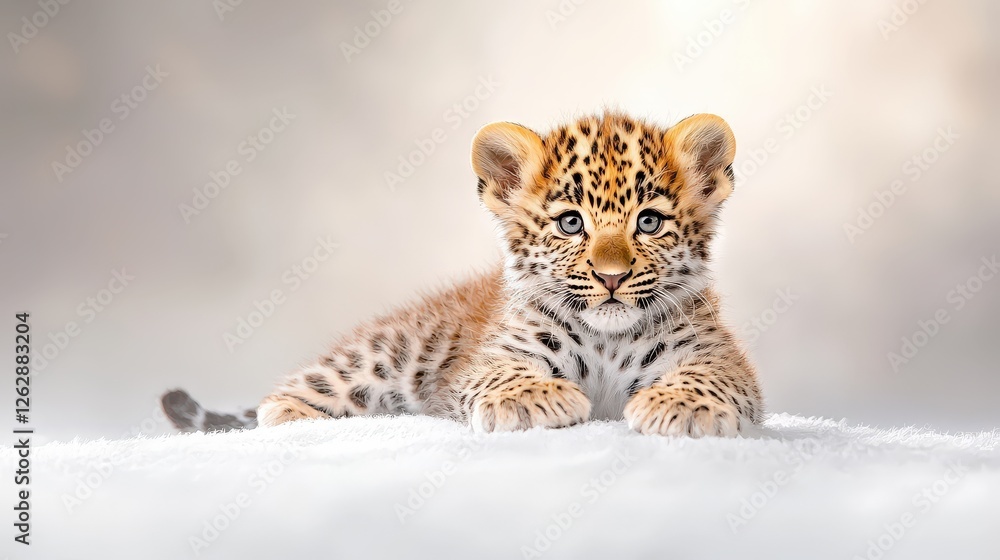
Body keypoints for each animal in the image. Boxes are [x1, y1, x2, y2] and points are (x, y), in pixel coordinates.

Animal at [161, 111, 764, 437]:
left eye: (649, 221)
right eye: (571, 223)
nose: (612, 277)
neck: (607, 340)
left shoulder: (717, 356)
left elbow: (711, 376)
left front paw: (681, 406)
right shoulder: (495, 355)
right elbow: (500, 373)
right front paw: (533, 400)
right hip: (387, 354)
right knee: (292, 394)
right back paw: (303, 417)